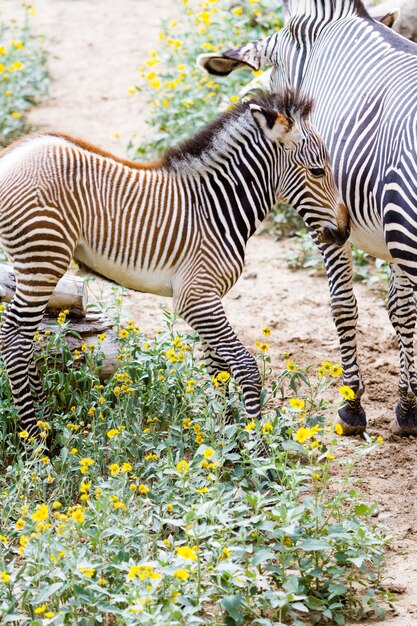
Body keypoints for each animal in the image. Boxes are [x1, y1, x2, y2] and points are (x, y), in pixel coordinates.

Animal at [0, 90, 348, 436]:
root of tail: (12, 154)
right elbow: (245, 366)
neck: (216, 209)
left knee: (23, 337)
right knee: (14, 338)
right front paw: (256, 446)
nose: (344, 232)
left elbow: (218, 369)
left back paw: (44, 420)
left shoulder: (207, 298)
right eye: (318, 171)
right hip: (43, 258)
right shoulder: (196, 297)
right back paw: (34, 435)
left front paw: (226, 442)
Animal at [197, 0, 416, 434]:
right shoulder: (390, 231)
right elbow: (399, 310)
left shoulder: (330, 221)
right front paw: (407, 405)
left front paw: (353, 405)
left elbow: (345, 304)